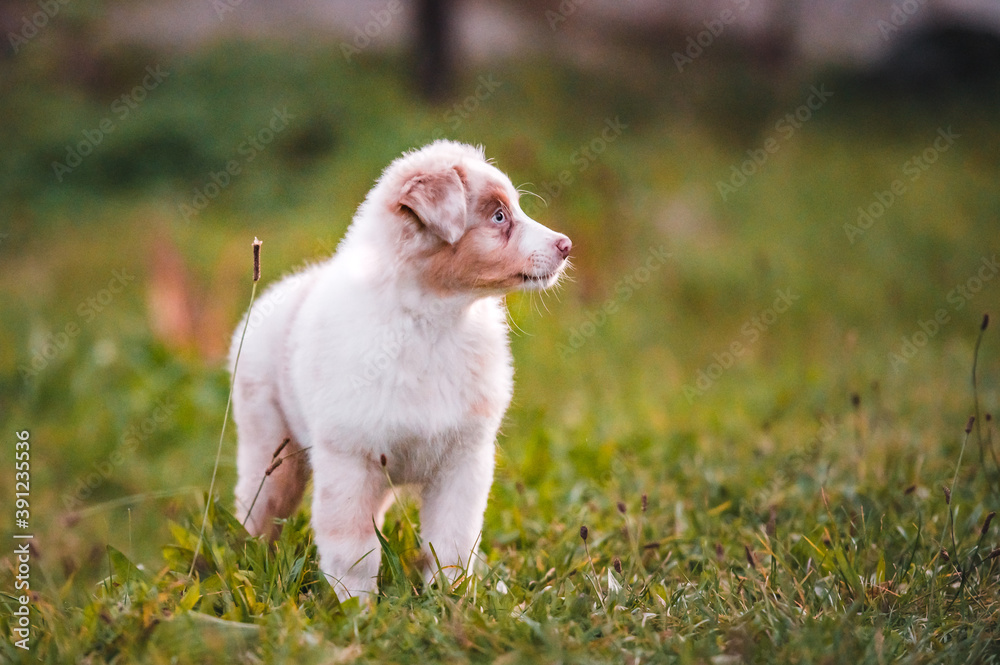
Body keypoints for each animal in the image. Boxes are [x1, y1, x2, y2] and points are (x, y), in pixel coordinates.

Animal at [229, 141, 572, 600]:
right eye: (499, 217)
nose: (566, 245)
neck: (435, 323)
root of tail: (276, 291)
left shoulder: (463, 461)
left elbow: (451, 542)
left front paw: (452, 599)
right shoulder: (350, 462)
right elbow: (354, 551)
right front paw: (355, 607)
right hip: (269, 451)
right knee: (257, 513)